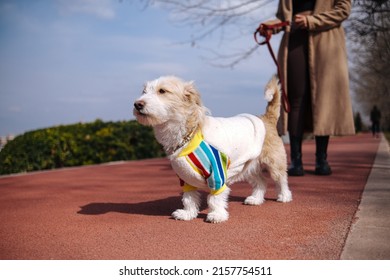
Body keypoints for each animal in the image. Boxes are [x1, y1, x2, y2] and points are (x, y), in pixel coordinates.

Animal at [133, 75, 290, 223]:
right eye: (144, 91)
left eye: (162, 91)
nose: (137, 104)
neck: (188, 134)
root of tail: (265, 118)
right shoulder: (185, 177)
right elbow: (189, 198)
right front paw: (188, 214)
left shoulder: (217, 173)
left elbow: (215, 199)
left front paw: (217, 215)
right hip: (247, 166)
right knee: (261, 181)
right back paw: (256, 199)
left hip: (274, 164)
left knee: (281, 179)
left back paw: (284, 196)